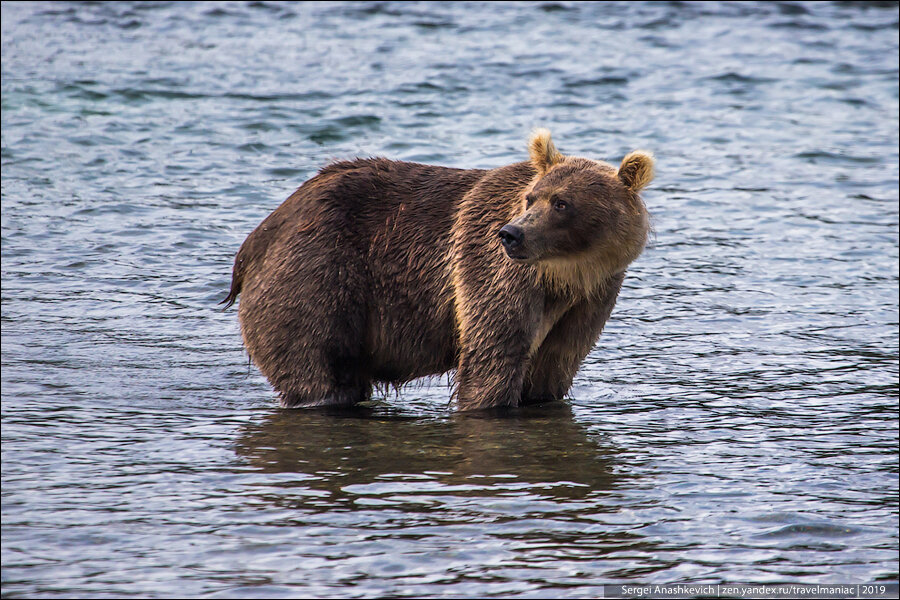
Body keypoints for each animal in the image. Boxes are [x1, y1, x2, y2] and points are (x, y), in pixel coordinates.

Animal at [221, 130, 652, 412]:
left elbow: (555, 364)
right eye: (533, 198)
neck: (564, 275)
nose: (512, 234)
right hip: (317, 275)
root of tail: (261, 234)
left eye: (561, 203)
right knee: (314, 365)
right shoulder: (493, 274)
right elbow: (493, 355)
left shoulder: (591, 297)